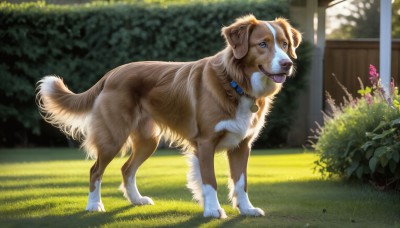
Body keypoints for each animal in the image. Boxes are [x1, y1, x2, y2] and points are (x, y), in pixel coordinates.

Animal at [36, 15, 300, 218]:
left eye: (285, 43)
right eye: (262, 44)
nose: (287, 64)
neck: (235, 82)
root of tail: (111, 74)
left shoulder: (242, 144)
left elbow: (241, 181)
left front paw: (246, 209)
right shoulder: (205, 143)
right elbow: (210, 181)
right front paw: (213, 211)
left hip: (148, 141)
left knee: (126, 169)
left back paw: (136, 199)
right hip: (113, 138)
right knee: (95, 170)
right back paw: (94, 205)